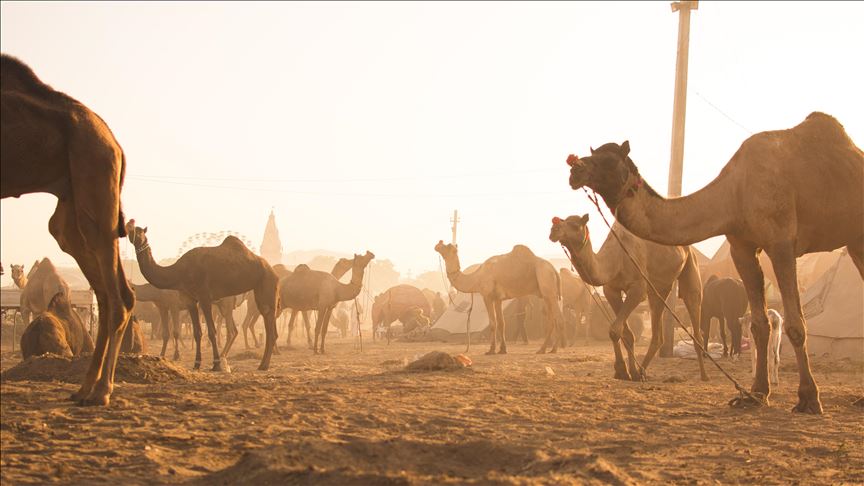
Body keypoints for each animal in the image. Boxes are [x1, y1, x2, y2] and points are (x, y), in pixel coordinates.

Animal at [0, 52, 136, 406]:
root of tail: (115, 143)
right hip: (69, 216)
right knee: (104, 294)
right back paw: (85, 388)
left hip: (95, 179)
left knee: (119, 296)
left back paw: (101, 391)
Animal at [126, 222, 280, 370]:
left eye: (139, 231)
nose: (129, 230)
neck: (179, 271)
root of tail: (273, 270)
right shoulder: (190, 300)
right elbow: (197, 332)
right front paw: (197, 363)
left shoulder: (204, 297)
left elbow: (211, 332)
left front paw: (216, 364)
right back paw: (261, 363)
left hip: (266, 282)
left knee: (266, 320)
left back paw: (263, 364)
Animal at [436, 241, 564, 356]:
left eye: (447, 246)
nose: (438, 244)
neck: (476, 278)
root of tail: (554, 269)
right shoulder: (498, 299)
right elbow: (502, 323)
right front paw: (503, 349)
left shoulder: (487, 296)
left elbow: (493, 323)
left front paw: (491, 350)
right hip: (547, 294)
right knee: (551, 319)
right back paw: (544, 349)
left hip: (547, 282)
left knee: (558, 318)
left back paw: (552, 349)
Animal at [552, 215, 704, 382]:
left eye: (575, 225)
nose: (553, 230)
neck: (616, 259)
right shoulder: (611, 290)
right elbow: (623, 333)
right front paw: (626, 372)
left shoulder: (638, 289)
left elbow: (615, 330)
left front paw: (625, 371)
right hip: (658, 288)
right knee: (658, 332)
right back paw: (642, 371)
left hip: (690, 264)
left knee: (692, 299)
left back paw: (704, 375)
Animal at [568, 111, 864, 414]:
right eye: (593, 153)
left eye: (608, 160)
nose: (574, 169)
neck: (734, 194)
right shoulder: (741, 247)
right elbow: (758, 324)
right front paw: (756, 394)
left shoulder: (781, 243)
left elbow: (796, 323)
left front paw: (808, 398)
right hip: (855, 240)